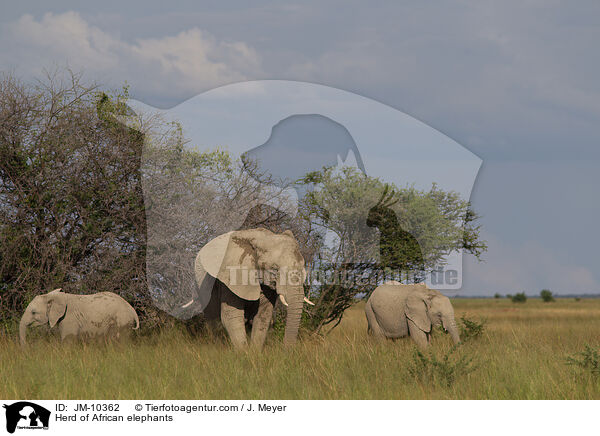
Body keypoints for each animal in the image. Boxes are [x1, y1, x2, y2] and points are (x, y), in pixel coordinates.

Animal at [182, 228, 314, 348]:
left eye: (303, 268)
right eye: (274, 269)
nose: (286, 349)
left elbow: (263, 317)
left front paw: (254, 354)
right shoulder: (230, 278)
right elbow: (232, 316)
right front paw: (243, 355)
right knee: (213, 320)